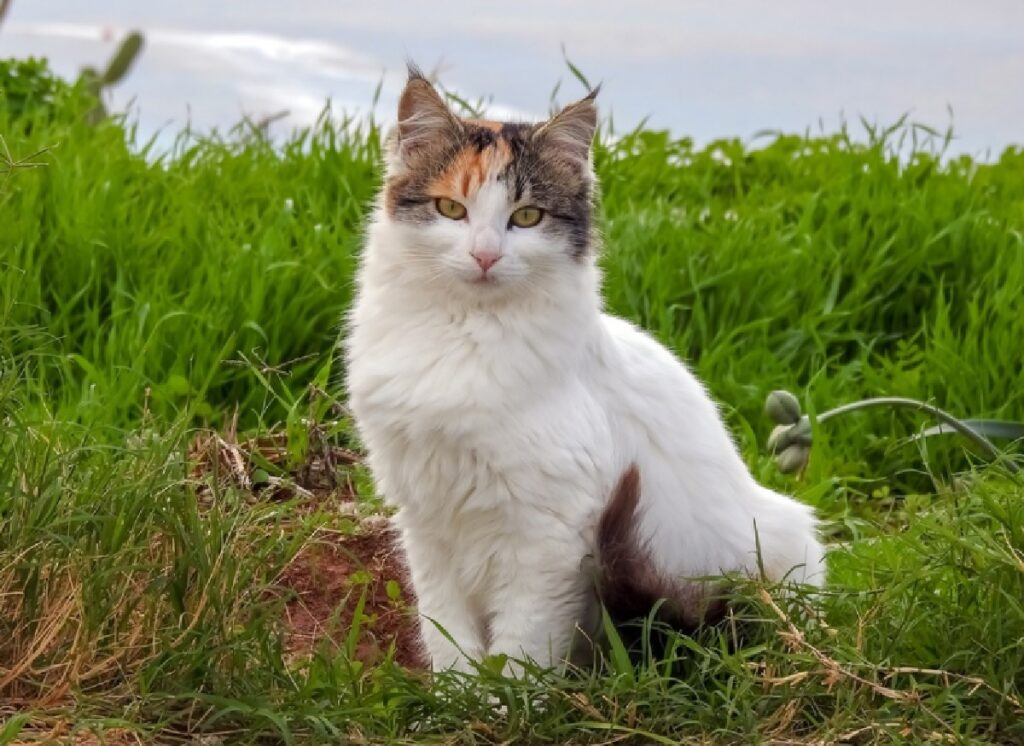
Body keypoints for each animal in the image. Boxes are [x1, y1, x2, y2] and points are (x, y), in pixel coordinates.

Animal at [344, 67, 823, 671]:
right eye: (451, 209)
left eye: (526, 217)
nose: (485, 256)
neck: (464, 334)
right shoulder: (426, 518)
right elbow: (447, 633)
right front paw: (456, 691)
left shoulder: (547, 533)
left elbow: (521, 646)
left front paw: (502, 697)